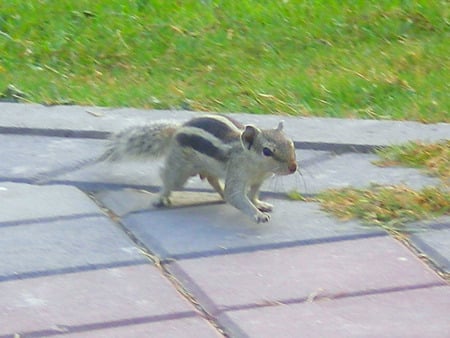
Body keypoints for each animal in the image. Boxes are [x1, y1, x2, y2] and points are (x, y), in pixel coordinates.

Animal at [102, 115, 298, 223]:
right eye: (267, 151)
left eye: (291, 143)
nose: (293, 167)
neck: (257, 168)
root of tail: (177, 130)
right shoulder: (236, 173)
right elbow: (235, 196)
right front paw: (257, 214)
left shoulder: (259, 179)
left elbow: (253, 193)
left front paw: (259, 204)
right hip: (179, 170)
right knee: (168, 178)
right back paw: (161, 197)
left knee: (212, 179)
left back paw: (220, 193)